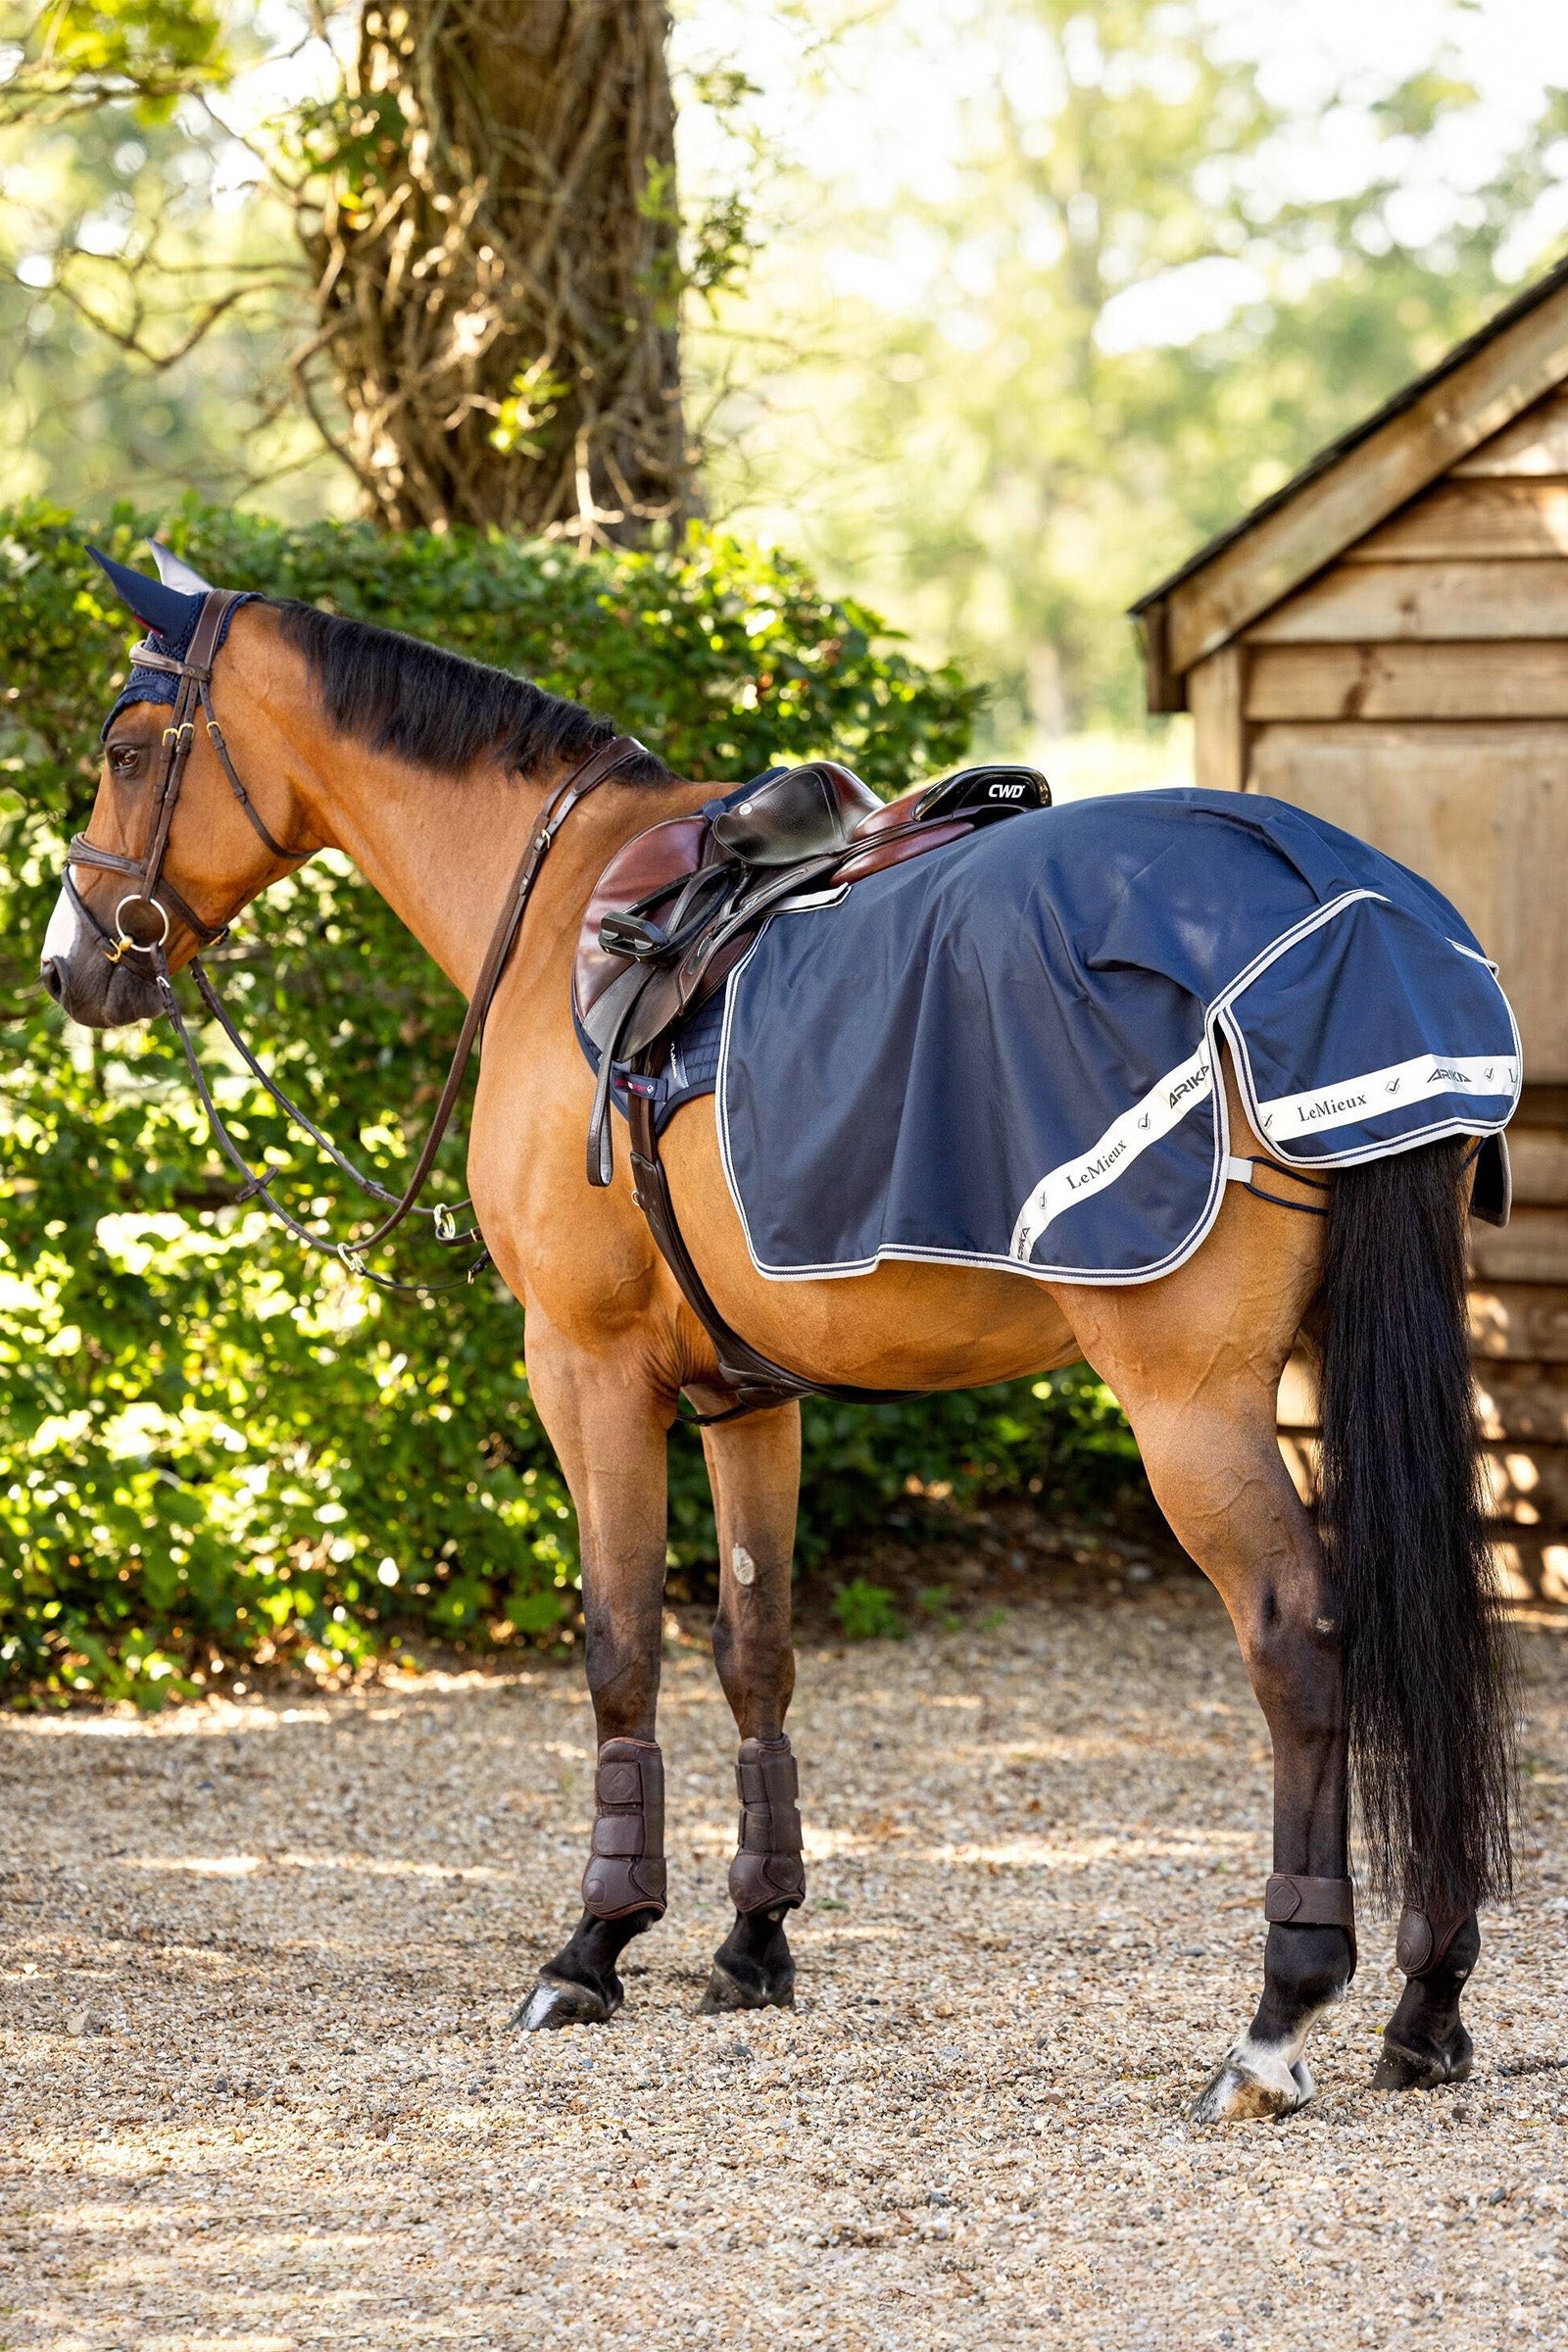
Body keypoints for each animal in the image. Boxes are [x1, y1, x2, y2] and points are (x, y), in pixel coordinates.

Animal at [40, 560, 1515, 2124]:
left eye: (125, 750)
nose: (74, 967)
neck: (556, 903)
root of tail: (1354, 916)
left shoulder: (581, 1369)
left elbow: (619, 1643)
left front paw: (593, 1945)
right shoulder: (750, 1399)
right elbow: (756, 1646)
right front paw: (752, 1942)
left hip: (1190, 1403)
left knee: (1300, 1640)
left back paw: (1279, 2016)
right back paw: (1428, 2000)